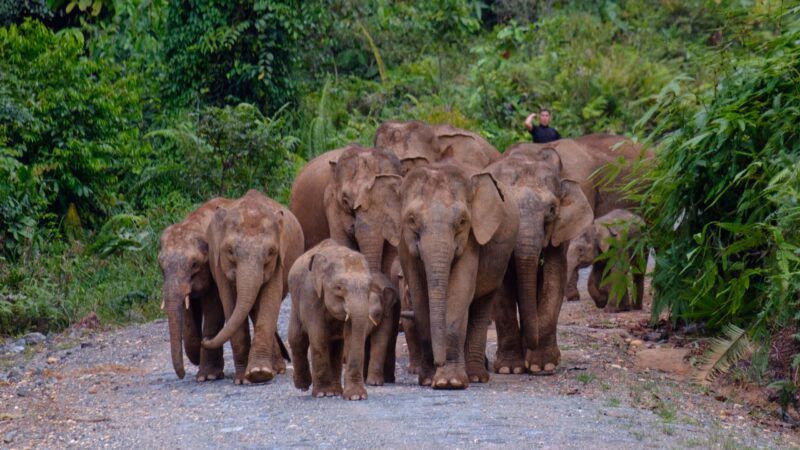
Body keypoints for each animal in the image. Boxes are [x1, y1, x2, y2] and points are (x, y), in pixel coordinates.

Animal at [158, 197, 231, 381]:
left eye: (194, 264)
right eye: (161, 266)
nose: (182, 375)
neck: (194, 222)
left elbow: (214, 308)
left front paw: (208, 376)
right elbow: (188, 312)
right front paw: (196, 354)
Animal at [201, 189, 304, 384]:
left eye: (270, 252)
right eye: (230, 251)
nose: (205, 340)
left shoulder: (278, 262)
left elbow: (269, 300)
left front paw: (259, 373)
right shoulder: (219, 263)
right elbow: (230, 303)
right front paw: (242, 379)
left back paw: (277, 369)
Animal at [287, 240, 392, 400]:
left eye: (369, 287)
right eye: (338, 287)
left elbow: (351, 336)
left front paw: (356, 396)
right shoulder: (310, 295)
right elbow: (318, 336)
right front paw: (324, 393)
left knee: (336, 347)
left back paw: (336, 391)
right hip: (295, 302)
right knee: (297, 338)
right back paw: (304, 386)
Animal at [398, 162, 519, 389]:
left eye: (462, 221)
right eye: (411, 220)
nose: (439, 361)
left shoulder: (471, 240)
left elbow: (459, 291)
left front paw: (450, 382)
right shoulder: (405, 244)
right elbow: (419, 297)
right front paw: (428, 380)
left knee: (481, 306)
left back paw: (476, 377)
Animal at [488, 148, 593, 375]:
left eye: (552, 210)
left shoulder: (560, 233)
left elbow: (554, 278)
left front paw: (541, 366)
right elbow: (501, 285)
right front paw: (510, 369)